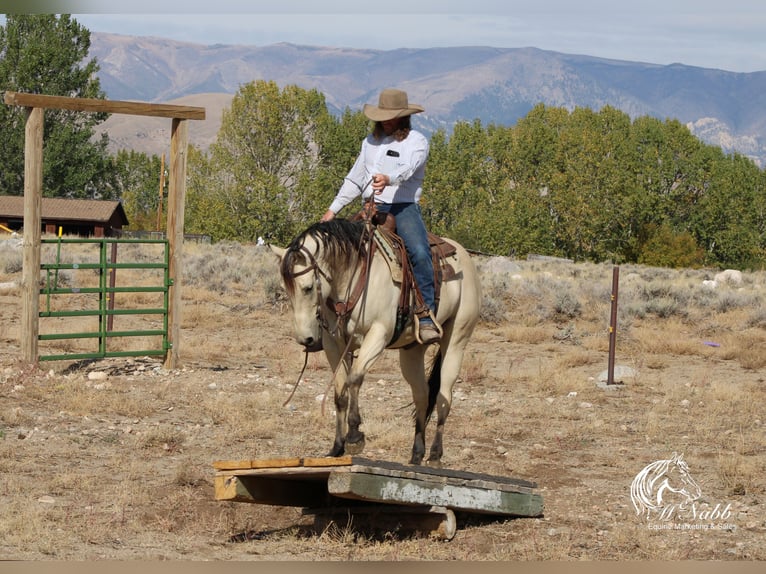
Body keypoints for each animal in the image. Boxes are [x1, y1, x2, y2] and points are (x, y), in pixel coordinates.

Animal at [272, 218, 484, 466]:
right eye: (285, 289)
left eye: (307, 288)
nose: (305, 339)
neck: (353, 277)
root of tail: (465, 256)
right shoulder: (335, 344)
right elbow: (340, 392)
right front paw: (337, 447)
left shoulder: (378, 334)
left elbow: (354, 378)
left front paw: (355, 436)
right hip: (412, 351)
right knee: (422, 395)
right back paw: (417, 453)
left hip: (457, 340)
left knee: (444, 397)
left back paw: (435, 454)